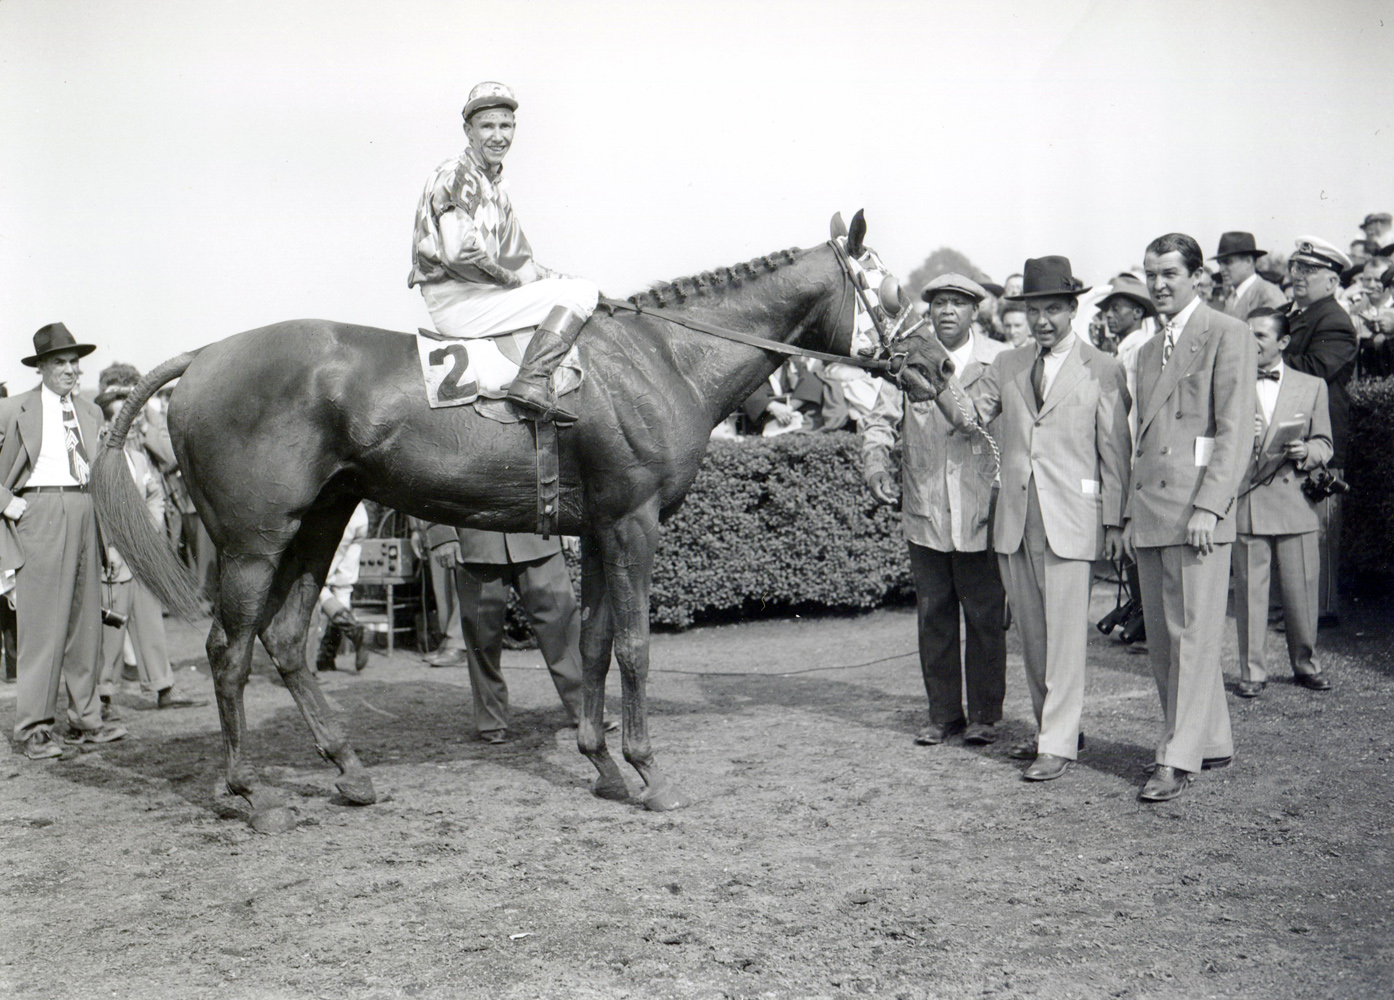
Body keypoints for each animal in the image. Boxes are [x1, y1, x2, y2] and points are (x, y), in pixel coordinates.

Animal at [93, 214, 954, 831]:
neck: (659, 358)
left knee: (283, 639)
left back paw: (349, 771)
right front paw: (648, 773)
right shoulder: (635, 523)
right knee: (227, 650)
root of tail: (205, 355)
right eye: (890, 292)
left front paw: (602, 766)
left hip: (321, 521)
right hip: (254, 540)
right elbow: (635, 648)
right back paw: (242, 791)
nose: (942, 365)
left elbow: (594, 645)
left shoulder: (601, 528)